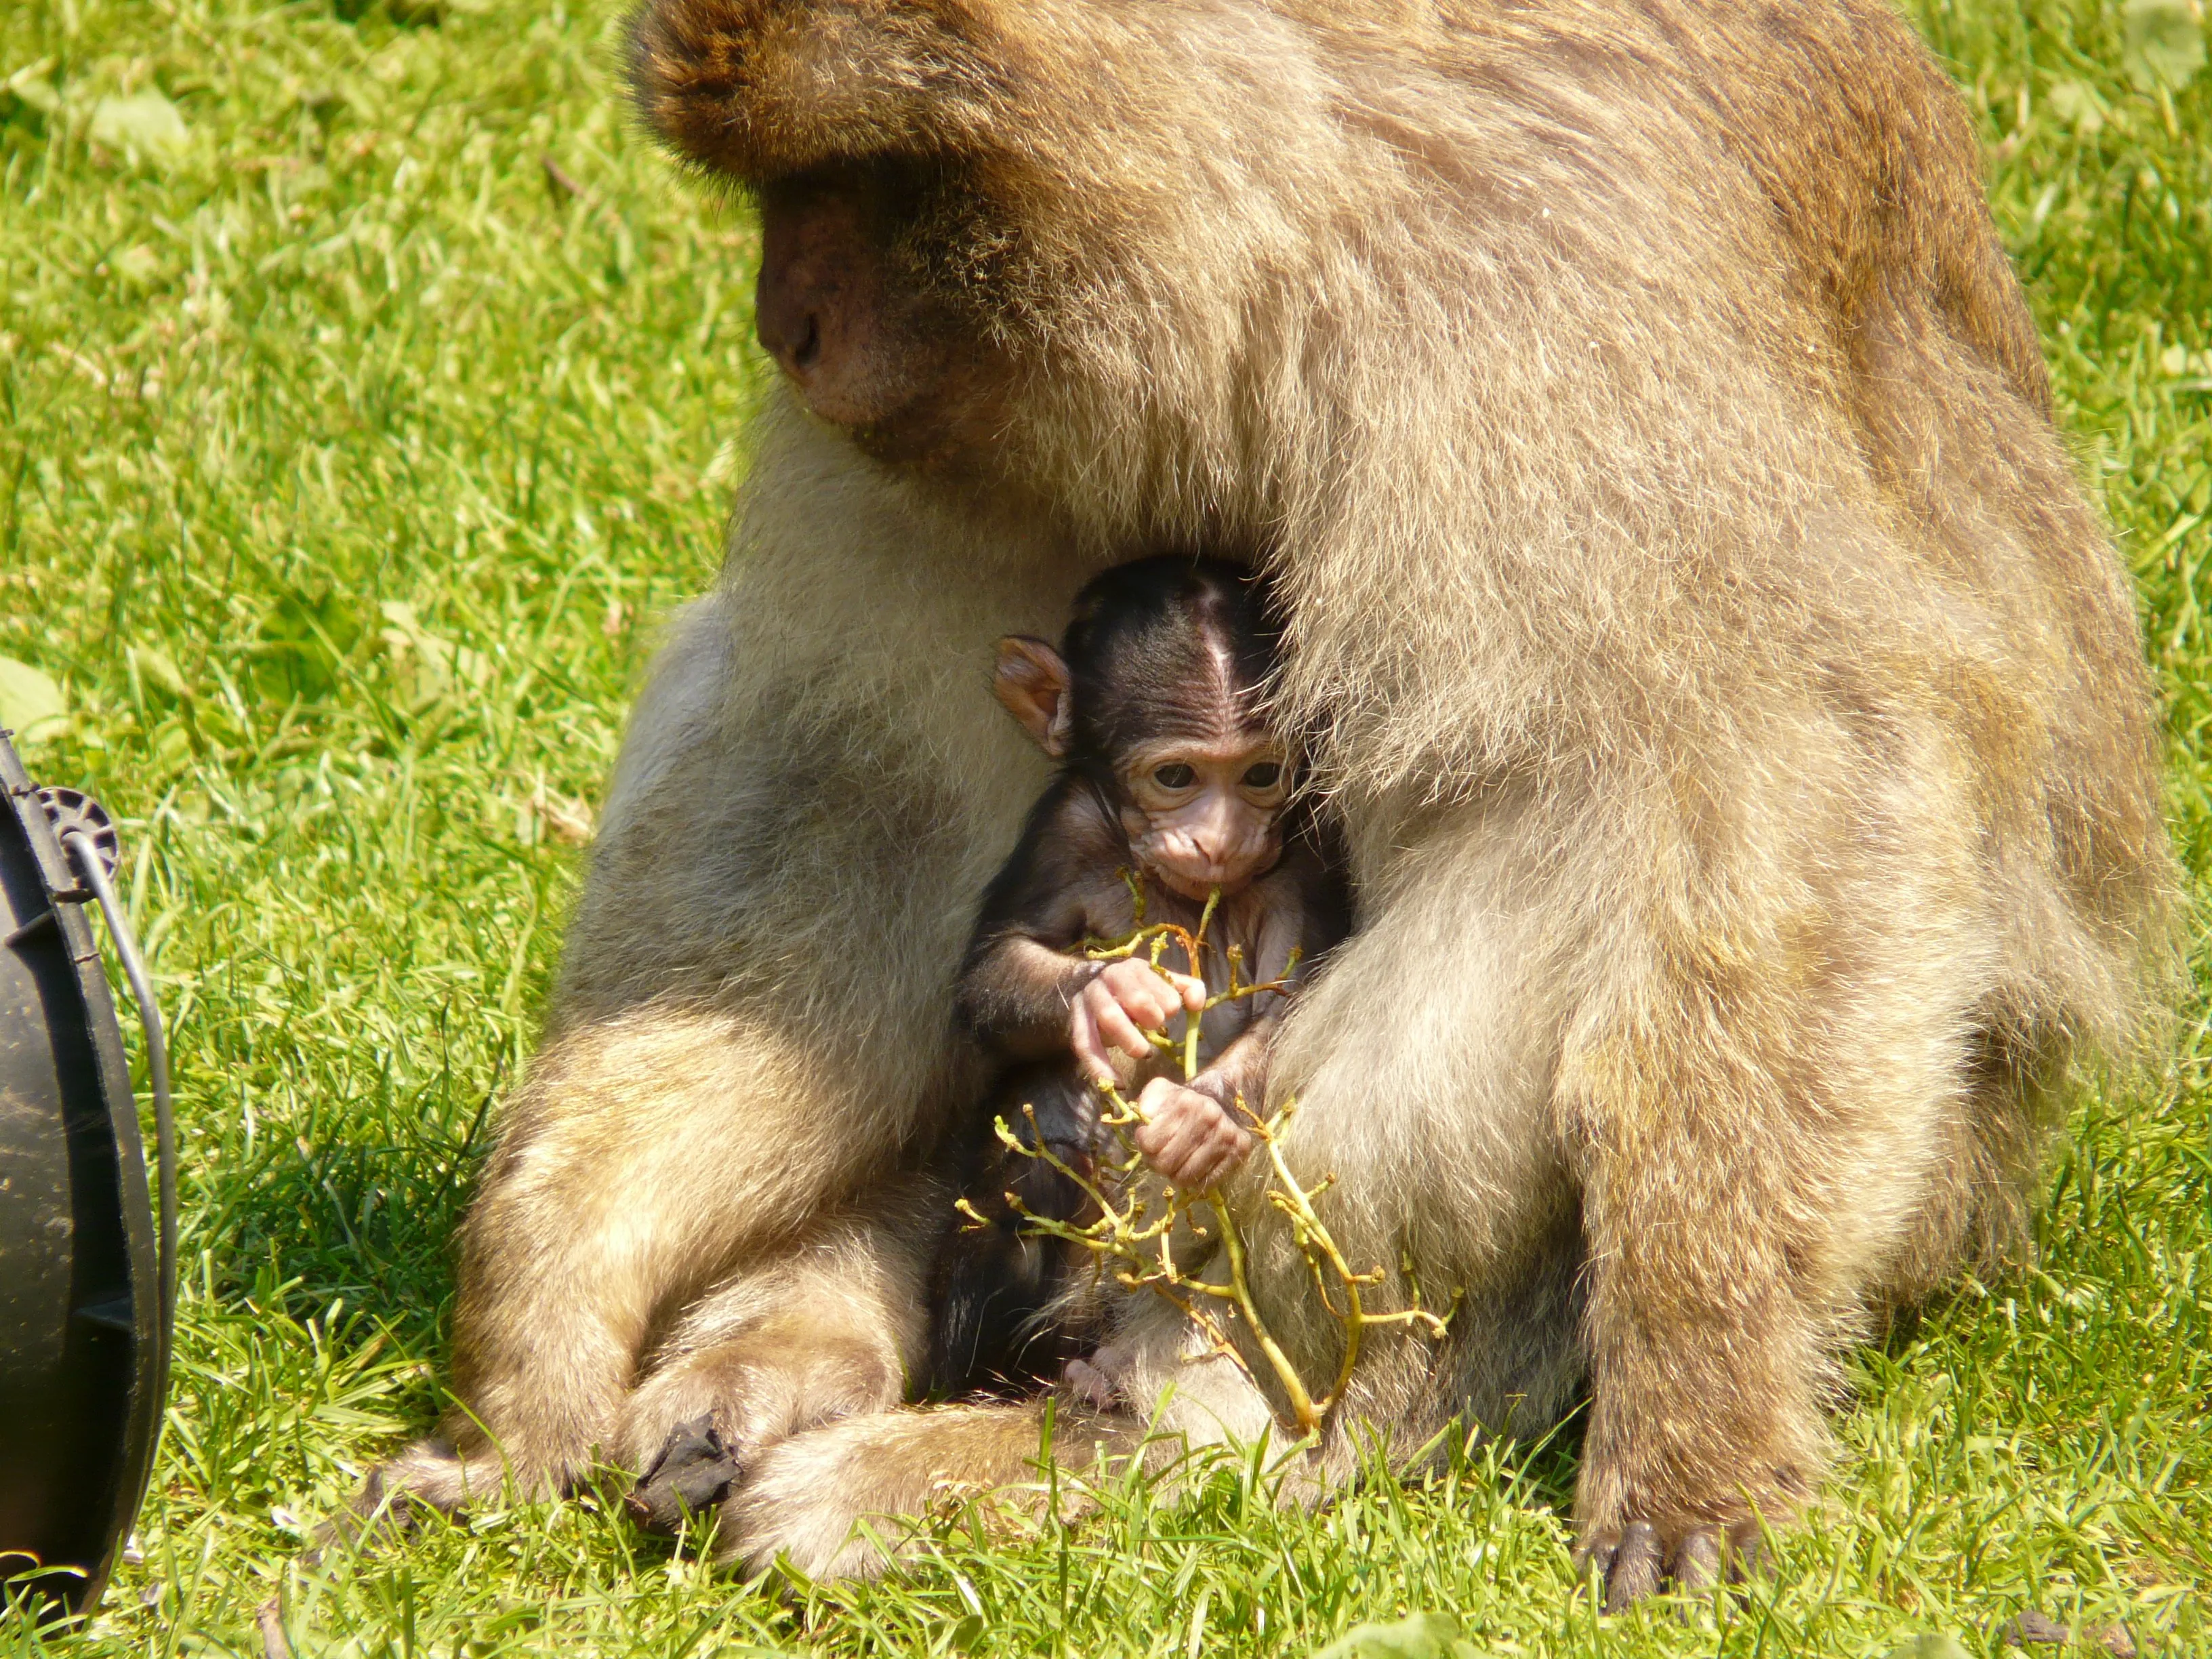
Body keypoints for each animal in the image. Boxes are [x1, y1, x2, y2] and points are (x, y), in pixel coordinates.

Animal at [928, 559, 1345, 1406]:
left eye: (1261, 774)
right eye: (1176, 776)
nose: (1222, 840)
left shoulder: (1305, 850)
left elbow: (1294, 998)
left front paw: (1204, 1115)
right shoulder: (1066, 826)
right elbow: (992, 971)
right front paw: (1106, 995)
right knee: (1039, 1137)